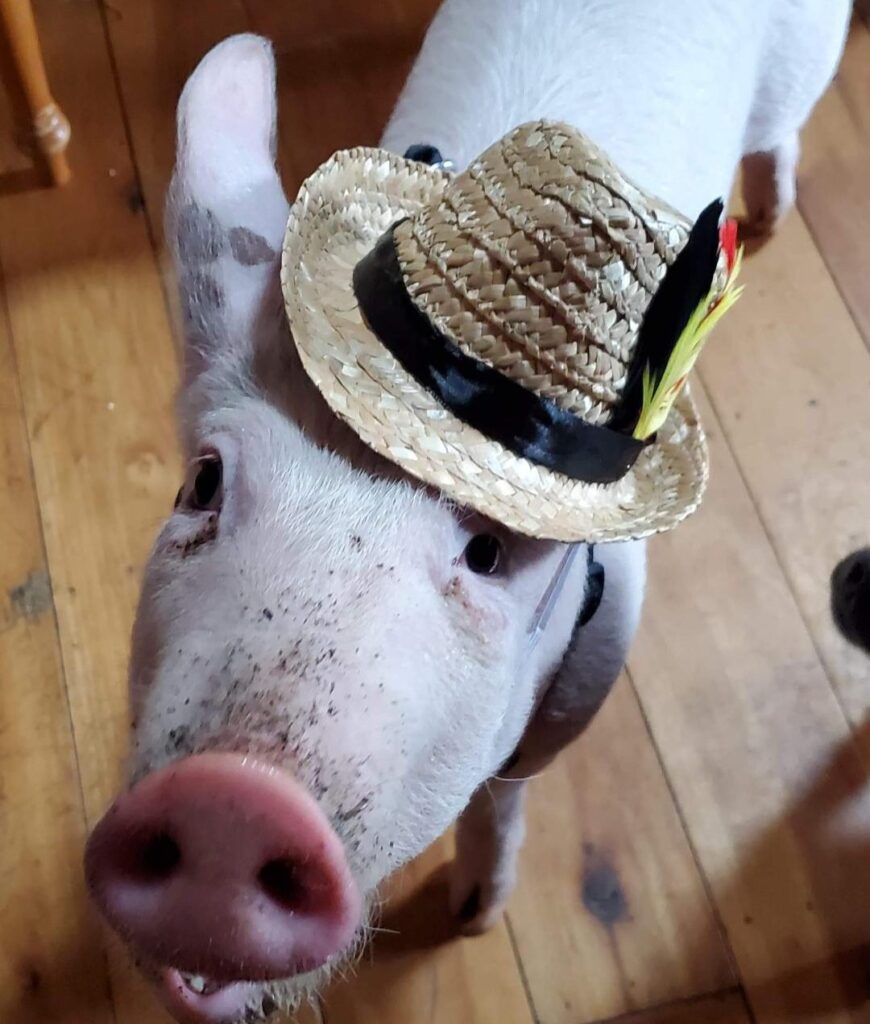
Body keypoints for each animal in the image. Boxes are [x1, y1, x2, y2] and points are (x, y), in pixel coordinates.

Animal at [84, 2, 851, 1022]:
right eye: (203, 482)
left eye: (488, 553)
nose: (228, 800)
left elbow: (506, 793)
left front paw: (476, 918)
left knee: (780, 133)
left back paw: (768, 212)